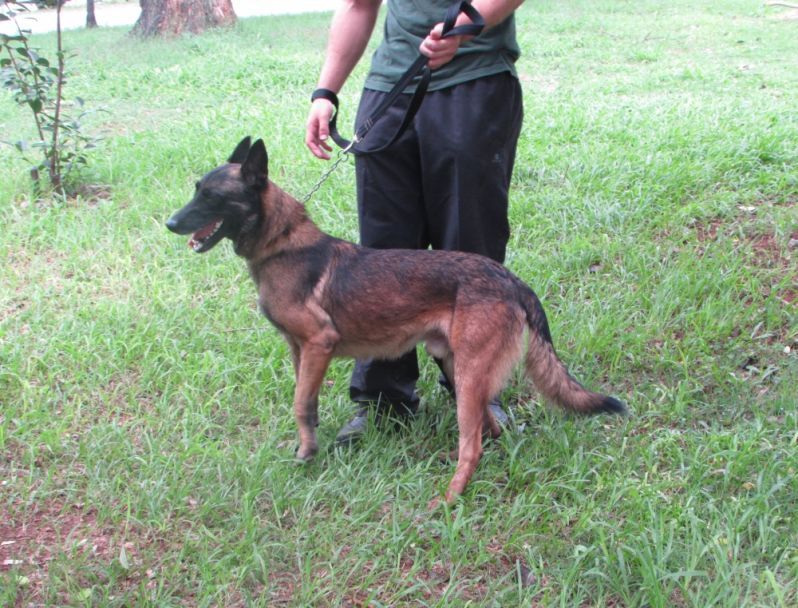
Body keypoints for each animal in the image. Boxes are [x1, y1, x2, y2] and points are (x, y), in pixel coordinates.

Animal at [166, 137, 628, 504]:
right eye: (196, 190)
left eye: (211, 196)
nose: (170, 223)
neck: (282, 244)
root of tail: (510, 278)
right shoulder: (300, 352)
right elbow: (306, 405)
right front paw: (307, 449)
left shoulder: (318, 344)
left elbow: (300, 404)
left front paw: (307, 455)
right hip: (457, 367)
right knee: (489, 429)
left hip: (469, 374)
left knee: (473, 444)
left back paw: (449, 498)